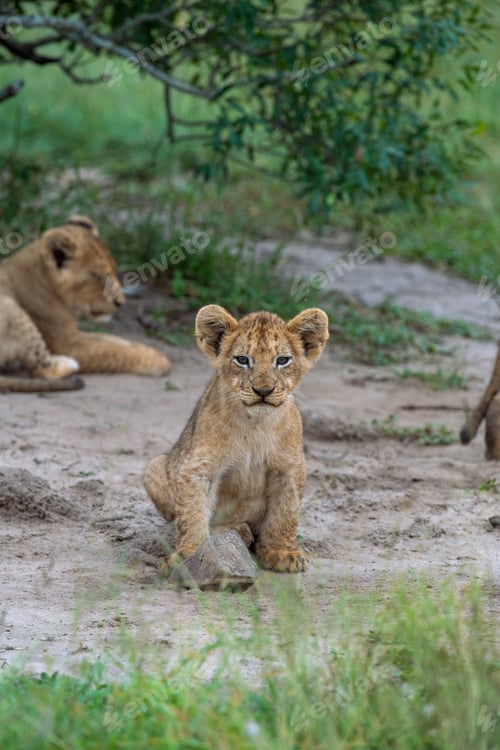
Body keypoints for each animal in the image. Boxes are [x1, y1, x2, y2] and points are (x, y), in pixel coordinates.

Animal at [0, 215, 170, 392]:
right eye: (98, 277)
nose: (120, 302)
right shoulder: (67, 345)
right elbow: (112, 352)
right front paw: (158, 361)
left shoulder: (75, 334)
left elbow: (112, 340)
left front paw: (152, 351)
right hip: (10, 305)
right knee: (41, 371)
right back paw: (70, 363)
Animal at [143, 303, 329, 574]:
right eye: (242, 360)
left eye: (282, 360)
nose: (263, 391)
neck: (255, 425)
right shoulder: (198, 467)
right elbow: (192, 513)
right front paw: (188, 554)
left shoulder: (290, 468)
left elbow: (285, 513)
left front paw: (282, 552)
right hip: (154, 467)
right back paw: (238, 530)